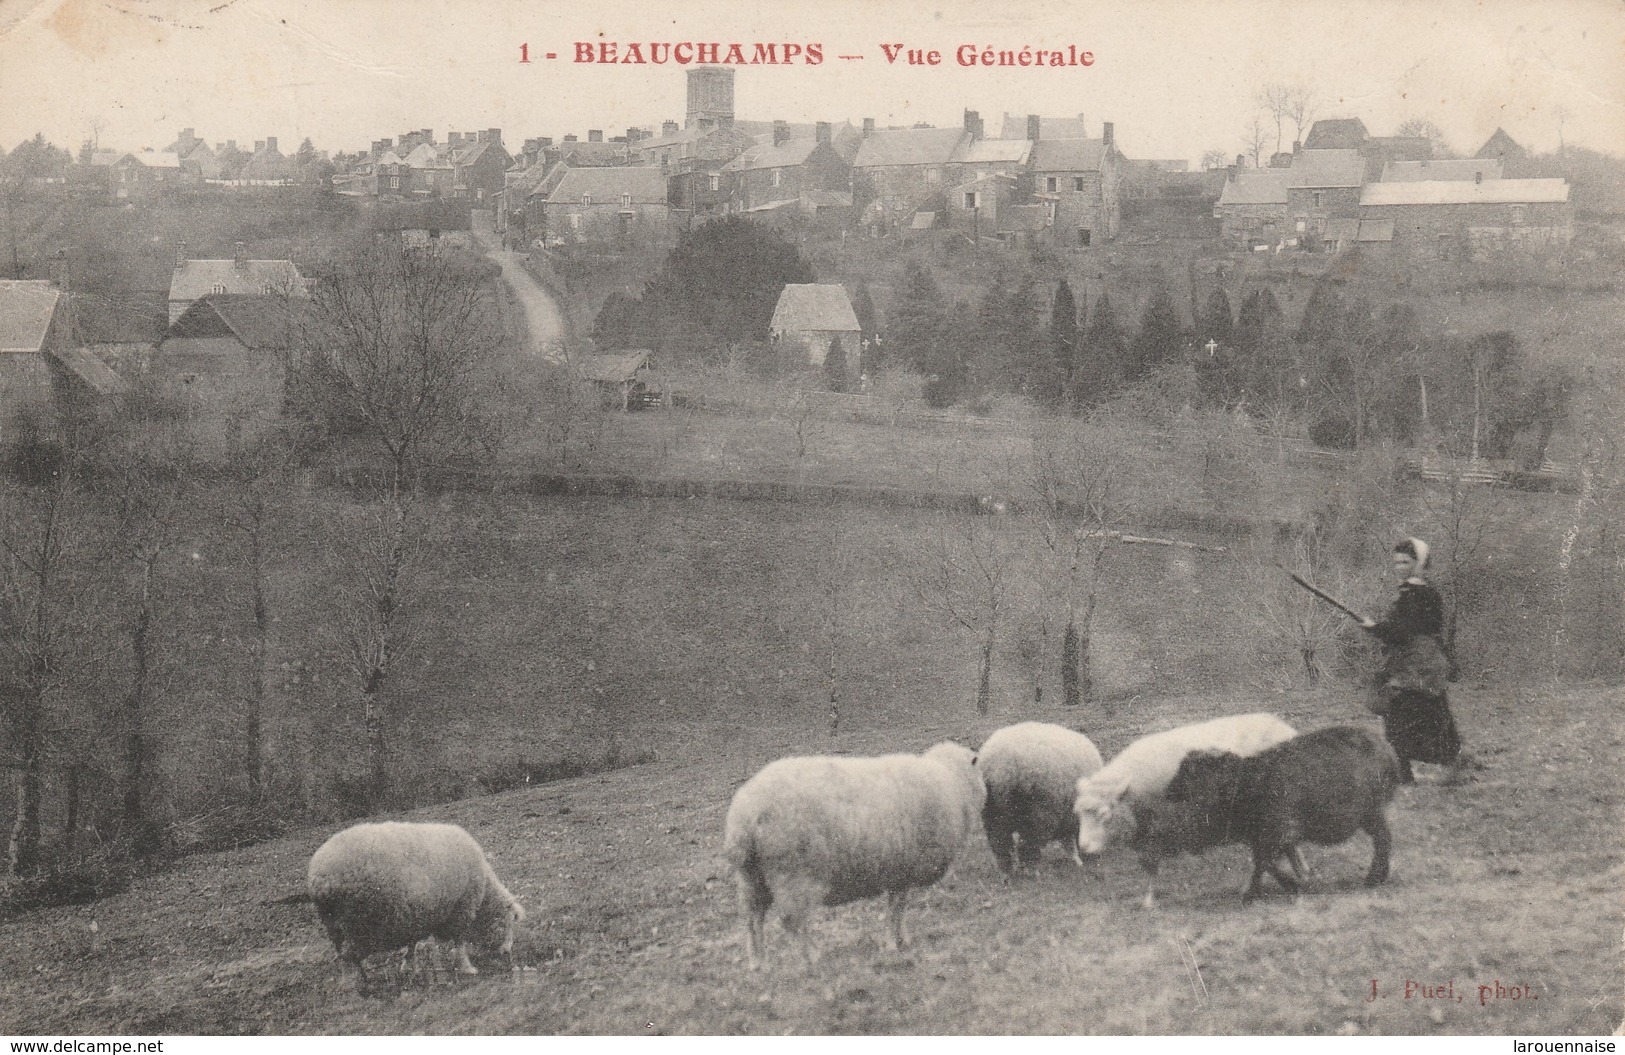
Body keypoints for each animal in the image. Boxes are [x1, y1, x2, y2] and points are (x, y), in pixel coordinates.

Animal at [305, 816, 526, 981]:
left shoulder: (412, 916)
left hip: (334, 925)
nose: (507, 952)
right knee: (348, 958)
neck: (483, 898)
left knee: (341, 955)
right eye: (507, 923)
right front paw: (467, 968)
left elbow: (411, 945)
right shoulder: (460, 910)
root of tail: (320, 875)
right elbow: (459, 943)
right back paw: (358, 984)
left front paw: (408, 967)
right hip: (356, 923)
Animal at [728, 741, 981, 962]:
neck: (949, 780)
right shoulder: (903, 870)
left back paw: (758, 963)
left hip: (752, 876)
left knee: (753, 919)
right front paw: (893, 943)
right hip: (792, 874)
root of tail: (744, 817)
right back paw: (810, 956)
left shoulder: (898, 872)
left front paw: (902, 939)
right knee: (793, 921)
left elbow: (898, 909)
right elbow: (896, 910)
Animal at [975, 718, 1105, 877]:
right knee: (1029, 844)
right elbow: (1069, 841)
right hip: (1039, 812)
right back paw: (1032, 872)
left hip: (993, 813)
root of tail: (1003, 767)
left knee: (1000, 844)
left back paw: (1006, 873)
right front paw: (1077, 861)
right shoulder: (1070, 816)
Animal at [1137, 725, 1404, 903]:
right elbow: (1269, 862)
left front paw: (1254, 893)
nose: (1147, 856)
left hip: (1371, 810)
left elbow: (1263, 863)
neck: (1247, 787)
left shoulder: (1279, 831)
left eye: (1198, 792)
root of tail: (1387, 748)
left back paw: (1374, 878)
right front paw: (1296, 882)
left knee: (1383, 839)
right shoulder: (1266, 837)